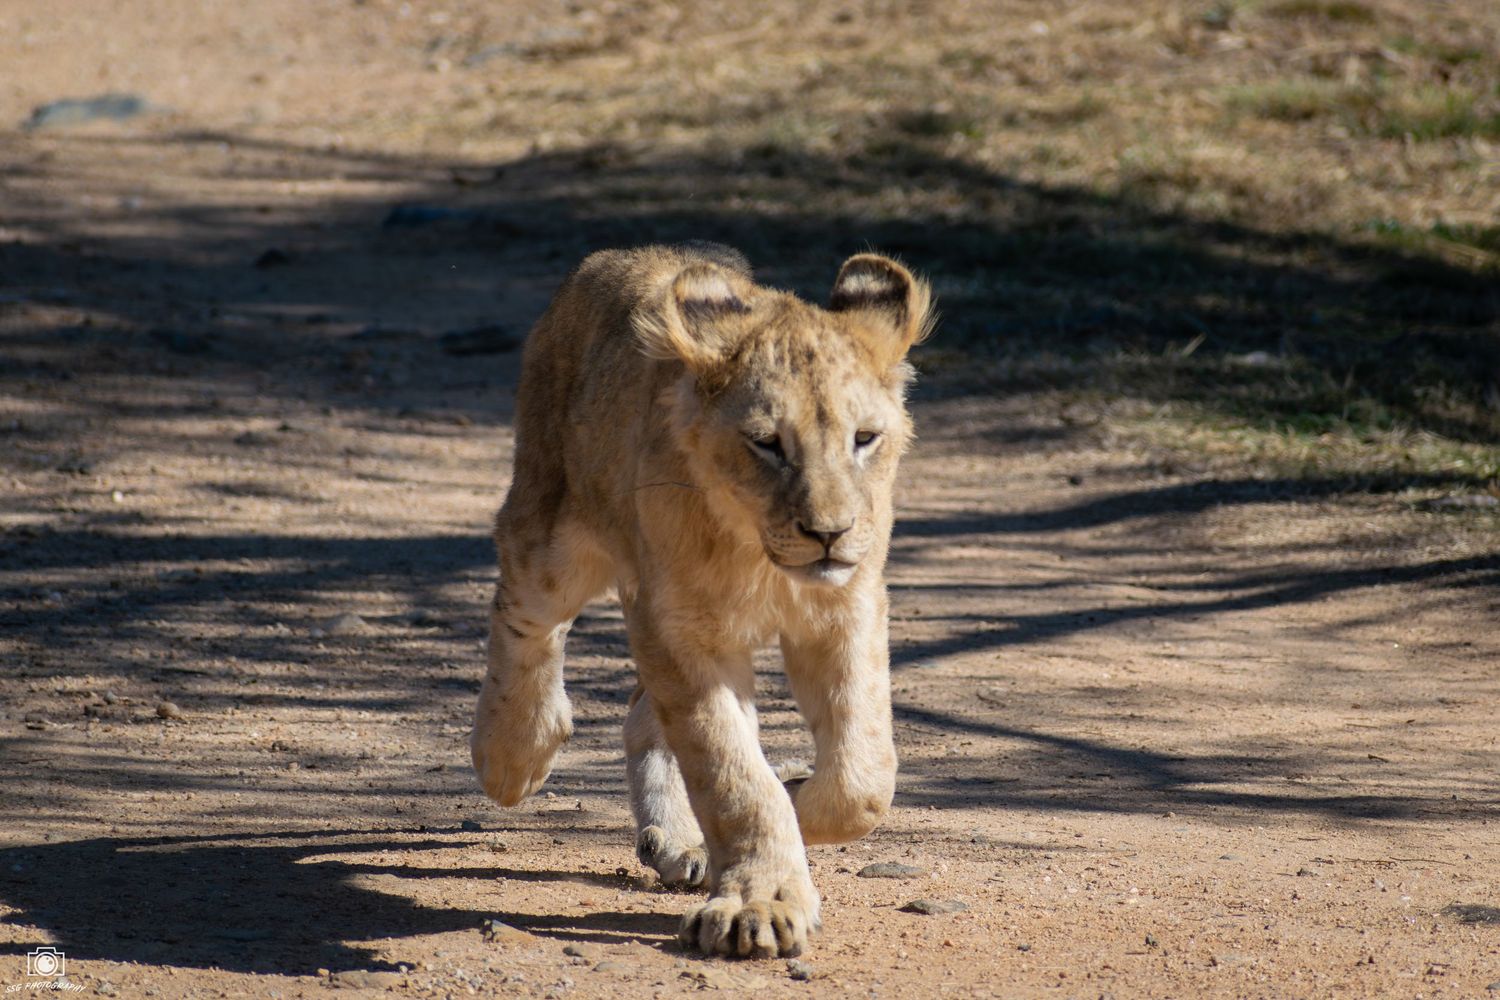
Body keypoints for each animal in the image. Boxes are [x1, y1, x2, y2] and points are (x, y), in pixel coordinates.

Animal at [470, 242, 934, 958]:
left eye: (865, 439)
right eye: (767, 443)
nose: (829, 533)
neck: (757, 554)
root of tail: (622, 255)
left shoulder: (844, 608)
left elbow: (863, 776)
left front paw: (796, 801)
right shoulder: (678, 624)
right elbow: (731, 771)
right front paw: (760, 903)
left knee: (642, 712)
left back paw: (680, 843)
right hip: (552, 530)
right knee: (527, 618)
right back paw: (512, 756)